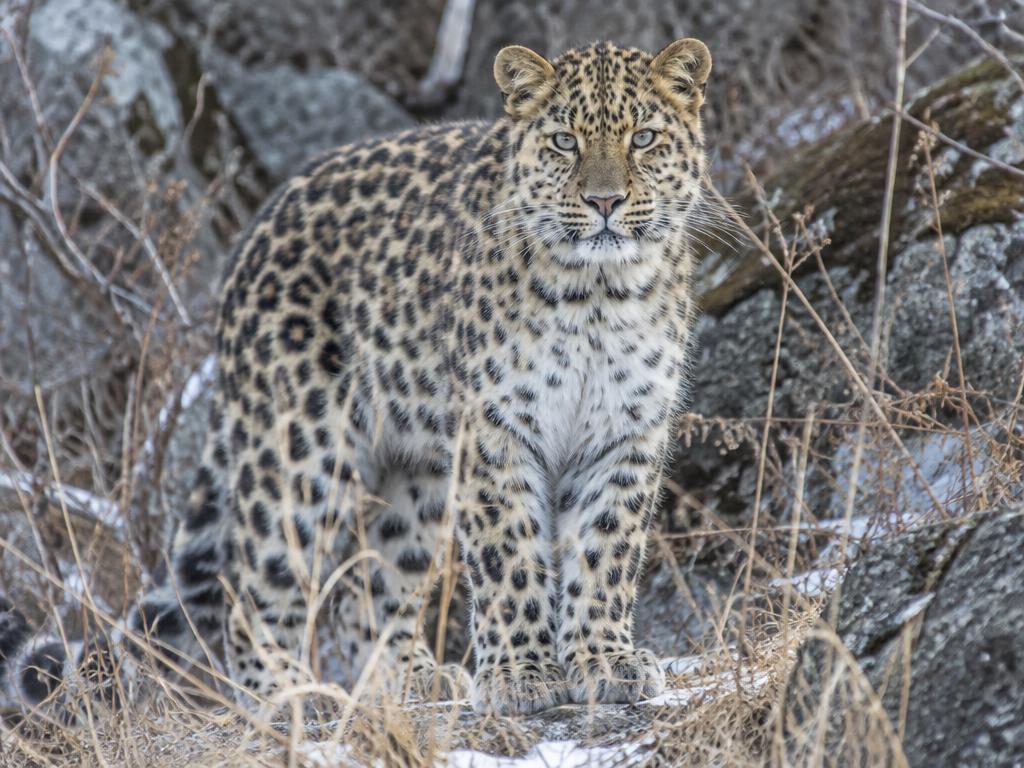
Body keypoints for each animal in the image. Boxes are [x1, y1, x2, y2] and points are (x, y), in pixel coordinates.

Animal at [0, 36, 712, 718]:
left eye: (643, 138)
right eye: (565, 141)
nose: (604, 201)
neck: (600, 291)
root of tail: (254, 234)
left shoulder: (626, 432)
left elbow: (604, 550)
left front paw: (604, 662)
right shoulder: (494, 433)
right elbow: (508, 556)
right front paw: (522, 675)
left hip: (416, 471)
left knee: (365, 590)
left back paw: (410, 679)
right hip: (299, 452)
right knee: (251, 590)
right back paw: (287, 696)